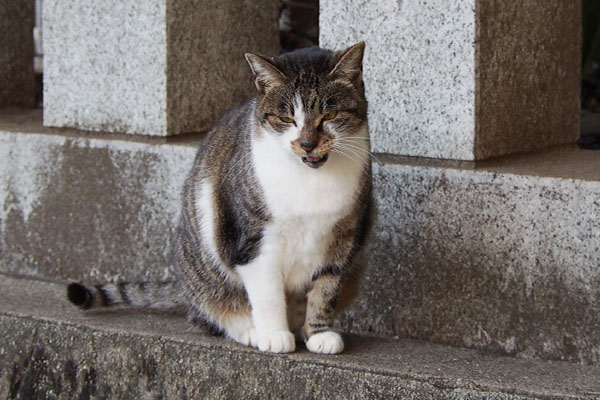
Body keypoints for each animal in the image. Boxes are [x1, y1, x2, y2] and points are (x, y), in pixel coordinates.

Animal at [68, 41, 372, 354]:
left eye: (330, 116)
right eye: (287, 118)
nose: (308, 144)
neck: (310, 179)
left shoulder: (345, 240)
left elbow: (325, 290)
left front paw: (318, 333)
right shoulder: (252, 241)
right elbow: (268, 294)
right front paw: (274, 334)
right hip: (206, 272)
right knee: (208, 313)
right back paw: (249, 330)